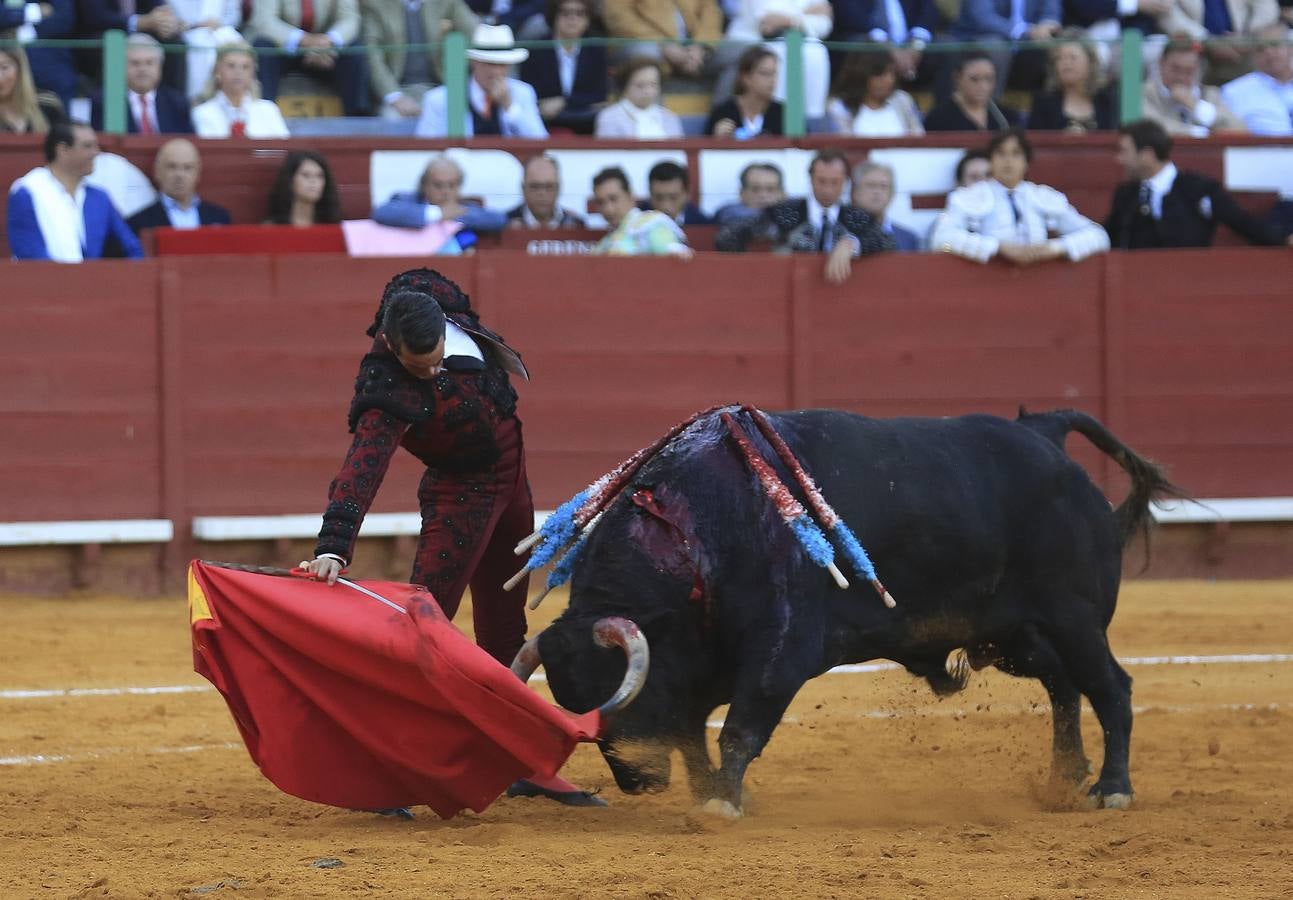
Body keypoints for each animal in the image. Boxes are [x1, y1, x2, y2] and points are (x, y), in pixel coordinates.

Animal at [509, 408, 1179, 817]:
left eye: (621, 693)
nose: (635, 781)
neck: (691, 533)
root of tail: (1045, 433)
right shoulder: (698, 665)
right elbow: (695, 733)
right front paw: (711, 796)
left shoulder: (781, 650)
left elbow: (739, 728)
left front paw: (722, 802)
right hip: (1013, 636)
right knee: (1064, 685)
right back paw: (1065, 778)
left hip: (1074, 618)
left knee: (1110, 688)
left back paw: (1112, 789)